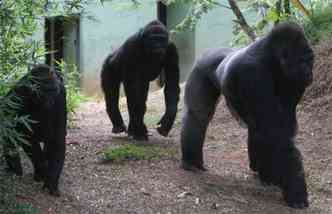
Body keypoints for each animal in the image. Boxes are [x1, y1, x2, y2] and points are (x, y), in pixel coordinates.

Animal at [2, 64, 67, 196]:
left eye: (53, 90)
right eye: (45, 91)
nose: (51, 100)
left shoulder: (61, 95)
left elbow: (58, 136)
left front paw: (51, 181)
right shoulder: (20, 91)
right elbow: (11, 121)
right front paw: (43, 169)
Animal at [182, 22, 314, 208]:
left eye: (311, 60)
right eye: (303, 61)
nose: (310, 73)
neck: (273, 60)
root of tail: (210, 51)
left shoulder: (294, 82)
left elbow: (279, 129)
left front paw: (275, 177)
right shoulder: (253, 73)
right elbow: (276, 133)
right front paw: (296, 191)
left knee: (254, 128)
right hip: (201, 67)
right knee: (198, 115)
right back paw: (191, 161)